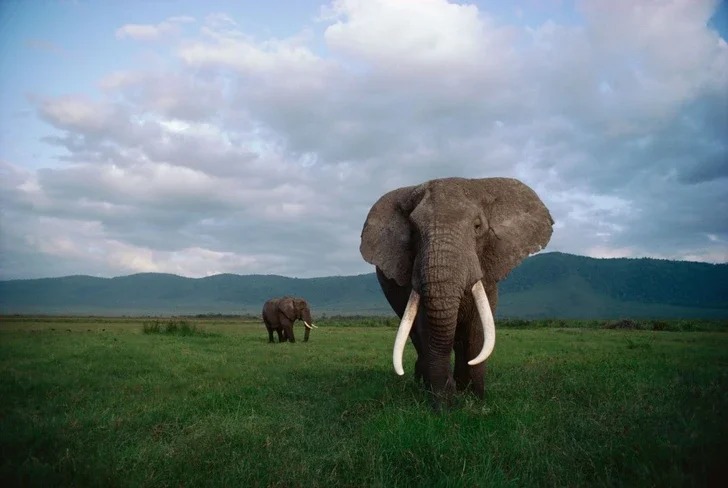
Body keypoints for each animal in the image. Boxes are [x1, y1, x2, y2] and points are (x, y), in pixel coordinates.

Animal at [362, 177, 556, 410]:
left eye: (477, 226)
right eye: (414, 231)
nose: (449, 393)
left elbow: (477, 331)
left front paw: (476, 401)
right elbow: (427, 327)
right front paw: (443, 405)